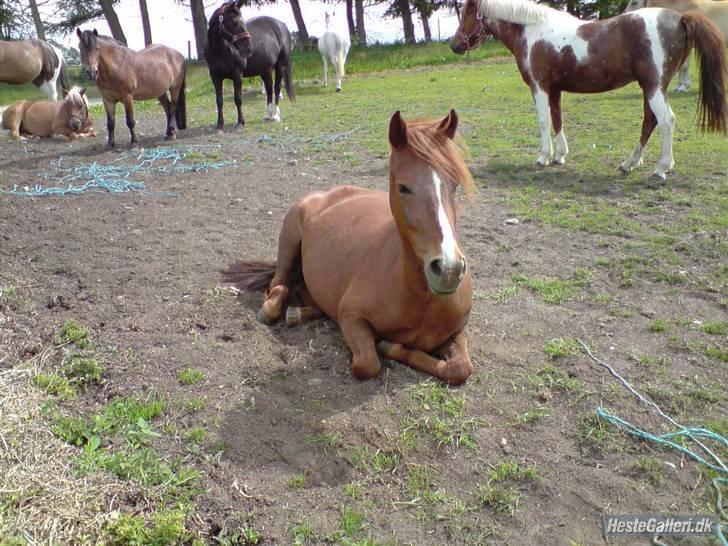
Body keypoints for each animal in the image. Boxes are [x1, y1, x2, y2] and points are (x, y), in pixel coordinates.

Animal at [203, 0, 294, 131]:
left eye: (243, 20)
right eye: (235, 22)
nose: (248, 49)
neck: (219, 50)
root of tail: (282, 25)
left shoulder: (237, 75)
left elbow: (238, 99)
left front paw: (240, 122)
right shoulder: (215, 77)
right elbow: (219, 100)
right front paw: (220, 124)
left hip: (280, 66)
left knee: (277, 88)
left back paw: (276, 115)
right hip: (265, 70)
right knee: (269, 90)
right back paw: (268, 115)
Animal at [228, 109, 478, 382]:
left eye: (454, 184)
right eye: (403, 187)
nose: (449, 269)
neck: (420, 299)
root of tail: (328, 192)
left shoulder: (457, 332)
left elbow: (460, 369)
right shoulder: (351, 317)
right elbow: (368, 363)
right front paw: (387, 346)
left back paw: (298, 313)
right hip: (288, 243)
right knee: (279, 285)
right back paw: (276, 309)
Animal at [452, 0, 724, 181]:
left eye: (466, 13)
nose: (454, 45)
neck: (533, 31)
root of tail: (679, 19)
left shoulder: (539, 88)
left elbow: (544, 121)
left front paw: (543, 157)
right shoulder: (555, 90)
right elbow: (557, 120)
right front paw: (560, 156)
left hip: (654, 88)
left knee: (666, 120)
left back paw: (661, 168)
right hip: (651, 89)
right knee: (650, 122)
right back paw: (629, 164)